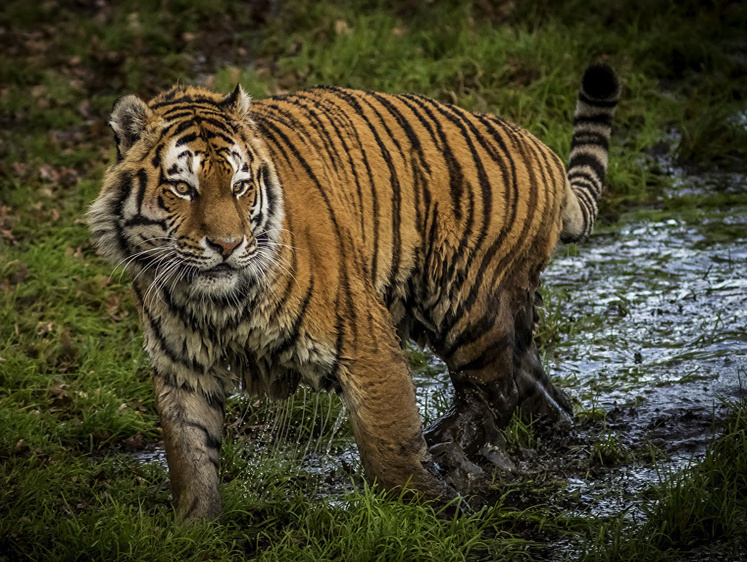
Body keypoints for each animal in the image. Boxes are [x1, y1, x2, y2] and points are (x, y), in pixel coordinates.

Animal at [89, 63, 620, 520]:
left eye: (240, 186)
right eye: (183, 188)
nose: (227, 245)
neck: (215, 302)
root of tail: (543, 153)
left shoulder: (366, 342)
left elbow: (391, 446)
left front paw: (432, 510)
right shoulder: (181, 367)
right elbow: (190, 458)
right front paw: (198, 531)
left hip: (467, 303)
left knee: (495, 390)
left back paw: (450, 445)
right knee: (535, 386)